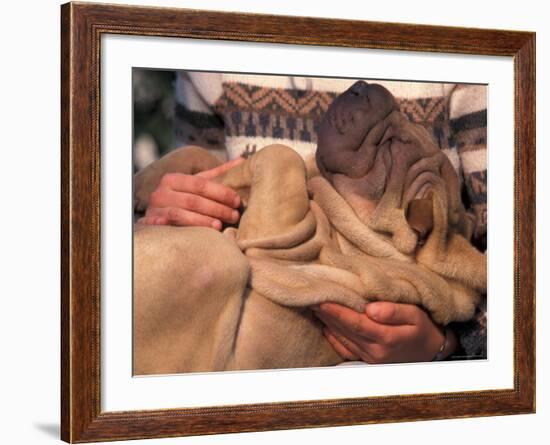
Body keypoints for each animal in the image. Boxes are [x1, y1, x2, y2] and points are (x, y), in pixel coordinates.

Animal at [134, 80, 488, 374]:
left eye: (389, 147)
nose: (366, 87)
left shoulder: (281, 240)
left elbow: (280, 154)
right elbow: (204, 155)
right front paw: (147, 186)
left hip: (219, 257)